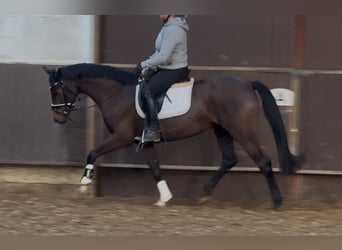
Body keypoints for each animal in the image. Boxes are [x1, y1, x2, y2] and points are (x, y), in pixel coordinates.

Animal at [44, 63, 300, 209]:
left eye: (56, 89)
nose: (57, 118)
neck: (116, 92)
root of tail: (247, 83)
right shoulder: (143, 141)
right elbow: (155, 167)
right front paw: (164, 198)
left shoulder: (122, 137)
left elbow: (93, 151)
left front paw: (85, 181)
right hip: (222, 130)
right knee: (229, 159)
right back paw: (204, 195)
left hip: (241, 131)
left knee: (263, 161)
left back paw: (276, 202)